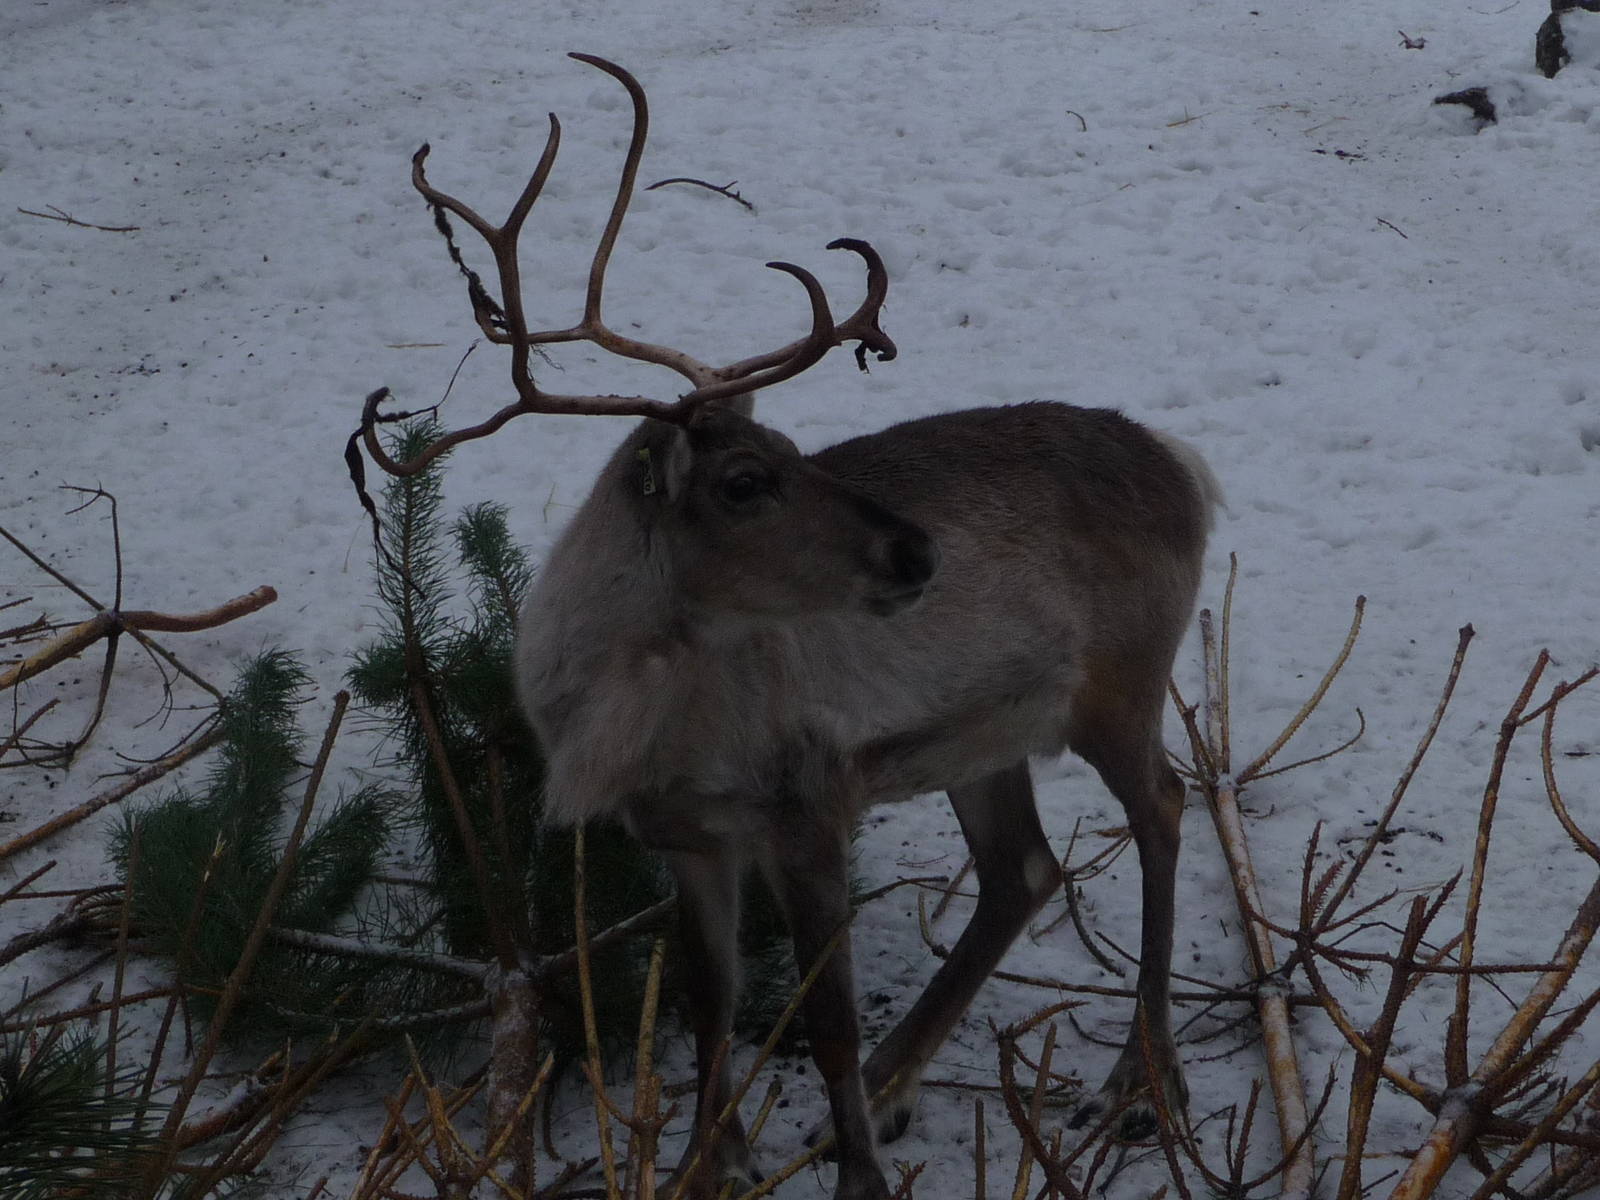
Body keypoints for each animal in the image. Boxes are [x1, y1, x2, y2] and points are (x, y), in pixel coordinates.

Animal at [361, 54, 1220, 1200]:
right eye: (744, 479)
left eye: (790, 448)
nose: (916, 552)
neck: (627, 723)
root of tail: (1184, 468)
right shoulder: (686, 835)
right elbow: (711, 1004)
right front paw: (703, 1162)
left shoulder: (808, 803)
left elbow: (826, 1022)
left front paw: (852, 1176)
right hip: (981, 731)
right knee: (1024, 869)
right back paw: (904, 1084)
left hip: (1121, 685)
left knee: (1162, 808)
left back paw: (1138, 1082)